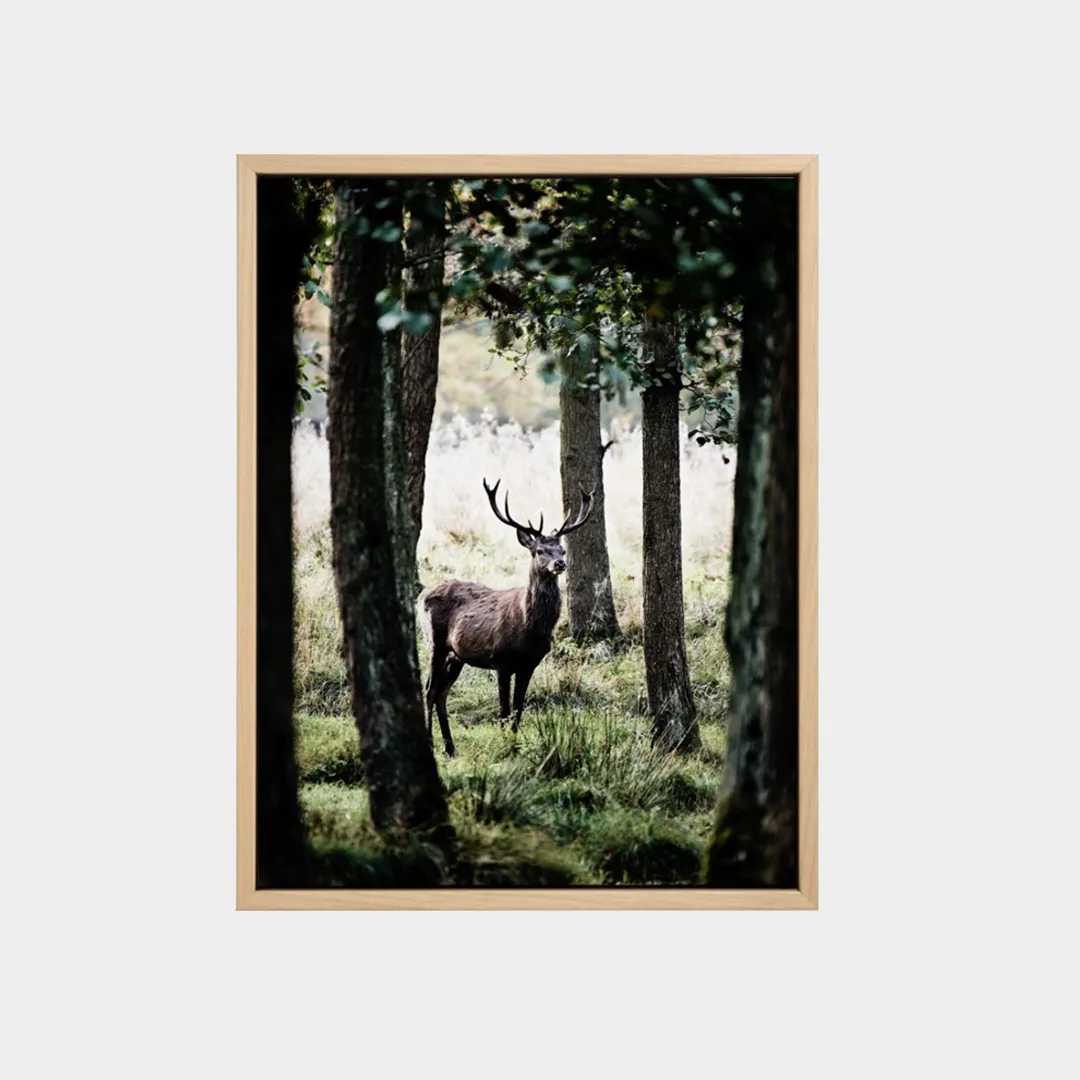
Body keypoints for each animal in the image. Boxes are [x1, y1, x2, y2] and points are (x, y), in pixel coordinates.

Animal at [417, 478, 595, 757]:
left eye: (562, 549)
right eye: (539, 550)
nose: (559, 564)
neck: (530, 630)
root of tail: (421, 595)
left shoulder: (529, 664)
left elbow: (518, 709)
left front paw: (515, 745)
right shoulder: (500, 660)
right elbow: (503, 710)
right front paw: (505, 747)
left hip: (456, 655)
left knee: (441, 693)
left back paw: (451, 748)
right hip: (435, 642)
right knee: (429, 690)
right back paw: (432, 743)